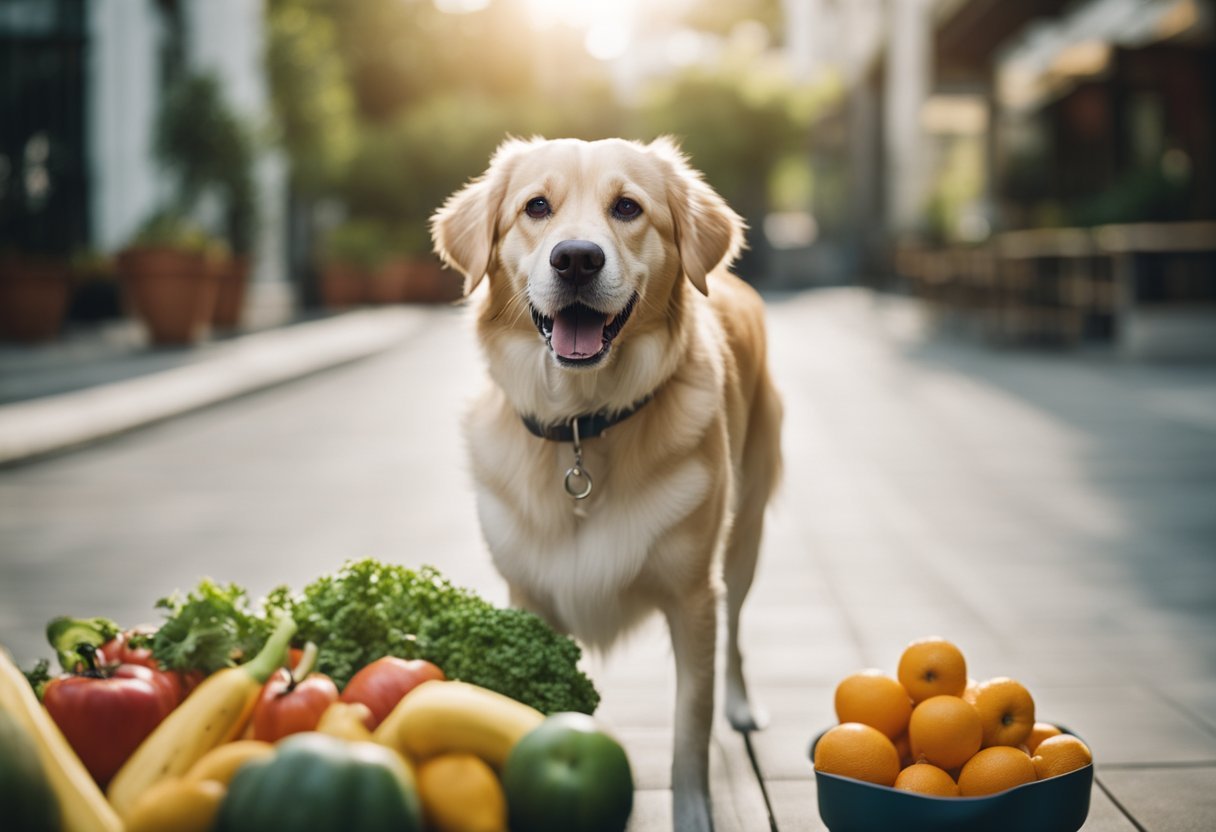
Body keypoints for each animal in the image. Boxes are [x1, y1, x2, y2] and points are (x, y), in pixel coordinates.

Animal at [432, 139, 783, 827]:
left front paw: (693, 813)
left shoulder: (693, 598)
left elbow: (690, 727)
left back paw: (743, 707)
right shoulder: (529, 598)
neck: (582, 422)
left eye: (627, 208)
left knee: (736, 632)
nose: (576, 258)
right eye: (536, 206)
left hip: (746, 536)